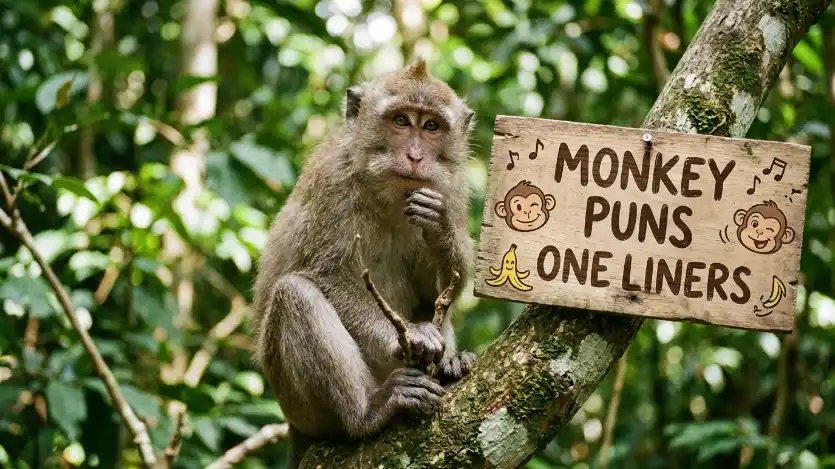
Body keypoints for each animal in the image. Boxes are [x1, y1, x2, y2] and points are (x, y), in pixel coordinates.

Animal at [252, 58, 477, 468]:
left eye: (431, 126)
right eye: (401, 121)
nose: (416, 157)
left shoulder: (452, 188)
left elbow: (437, 293)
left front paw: (438, 228)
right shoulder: (333, 182)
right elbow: (325, 273)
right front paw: (414, 334)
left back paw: (452, 366)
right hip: (301, 408)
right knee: (294, 294)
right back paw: (370, 411)